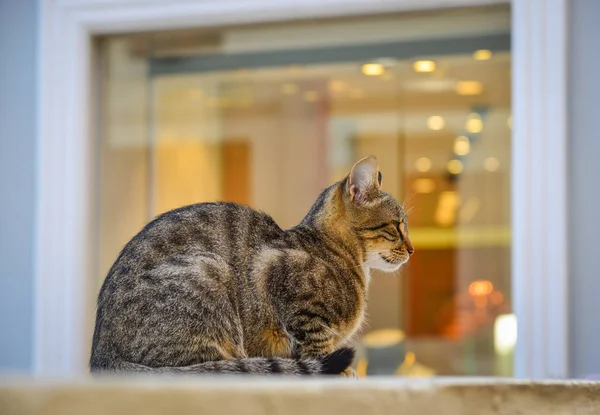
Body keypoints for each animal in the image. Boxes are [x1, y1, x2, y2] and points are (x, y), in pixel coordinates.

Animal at [91, 157, 414, 376]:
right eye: (397, 225)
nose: (412, 249)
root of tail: (101, 356)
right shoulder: (278, 274)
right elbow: (317, 345)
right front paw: (341, 371)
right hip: (208, 273)